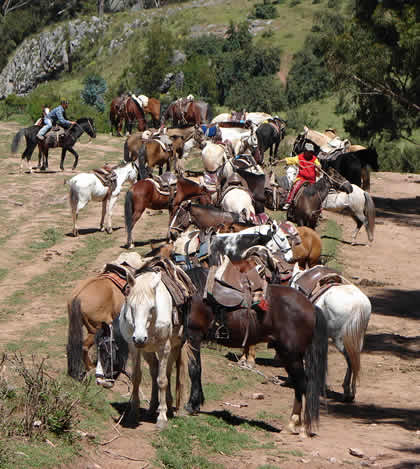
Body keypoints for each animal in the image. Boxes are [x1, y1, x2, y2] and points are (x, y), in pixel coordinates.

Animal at [185, 266, 330, 436]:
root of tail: (312, 306)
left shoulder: (193, 335)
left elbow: (194, 369)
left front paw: (192, 405)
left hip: (292, 355)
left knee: (301, 384)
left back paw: (295, 425)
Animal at [288, 266, 370, 400]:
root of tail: (358, 306)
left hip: (340, 339)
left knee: (350, 359)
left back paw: (347, 391)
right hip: (358, 338)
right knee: (355, 360)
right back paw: (352, 391)